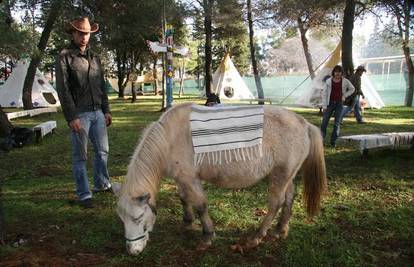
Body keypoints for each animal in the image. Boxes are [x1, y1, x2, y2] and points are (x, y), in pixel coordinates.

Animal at [113, 102, 326, 255]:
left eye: (138, 217)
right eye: (121, 219)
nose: (132, 251)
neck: (169, 139)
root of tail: (304, 124)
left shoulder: (191, 180)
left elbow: (201, 205)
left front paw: (207, 236)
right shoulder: (181, 179)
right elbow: (184, 199)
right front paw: (187, 222)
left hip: (280, 176)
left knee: (276, 203)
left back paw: (257, 236)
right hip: (284, 175)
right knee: (289, 198)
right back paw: (281, 229)